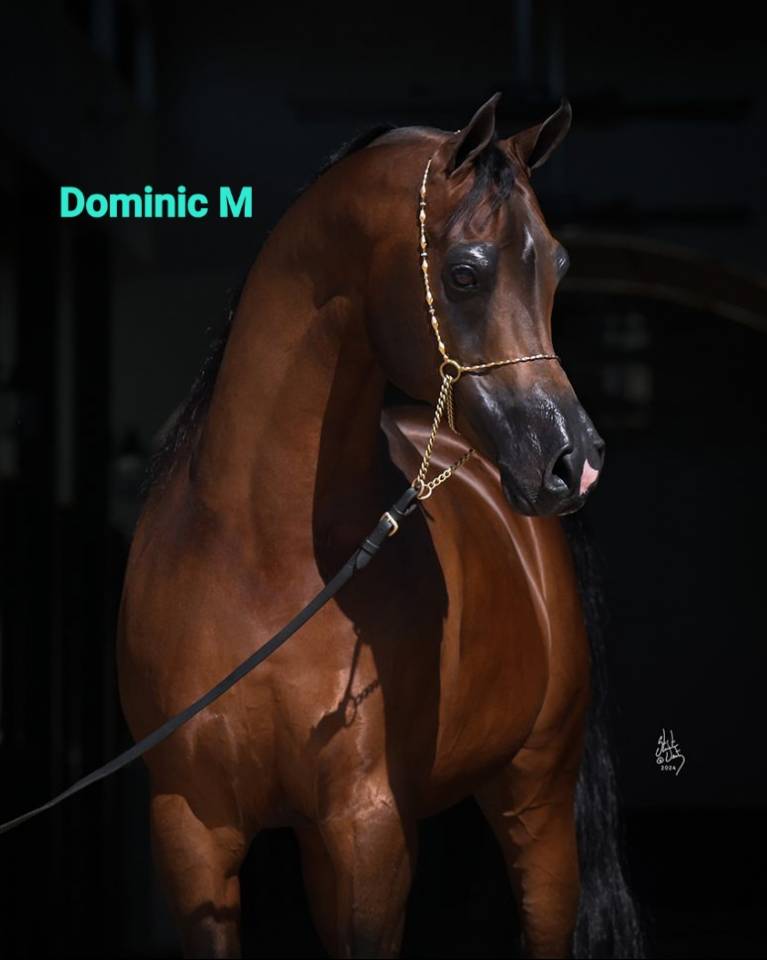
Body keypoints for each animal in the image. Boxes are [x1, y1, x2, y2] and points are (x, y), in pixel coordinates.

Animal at [117, 92, 643, 959]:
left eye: (558, 265)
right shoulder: (192, 830)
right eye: (464, 273)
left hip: (535, 805)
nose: (575, 461)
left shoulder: (366, 832)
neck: (260, 557)